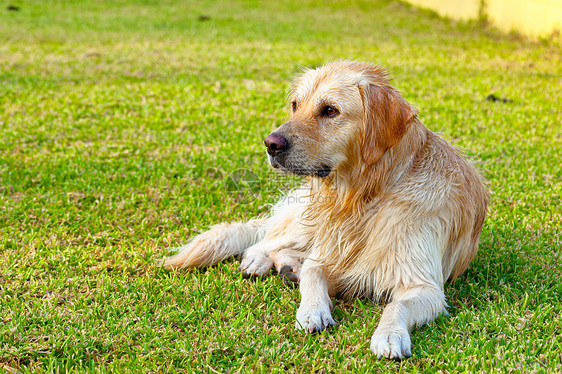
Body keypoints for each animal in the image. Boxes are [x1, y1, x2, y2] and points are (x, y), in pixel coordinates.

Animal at [162, 60, 486, 360]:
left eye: (330, 111)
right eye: (295, 105)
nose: (270, 144)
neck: (364, 197)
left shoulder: (424, 286)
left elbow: (397, 305)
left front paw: (390, 335)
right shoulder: (328, 254)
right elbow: (313, 273)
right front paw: (312, 310)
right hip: (305, 221)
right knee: (265, 238)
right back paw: (259, 260)